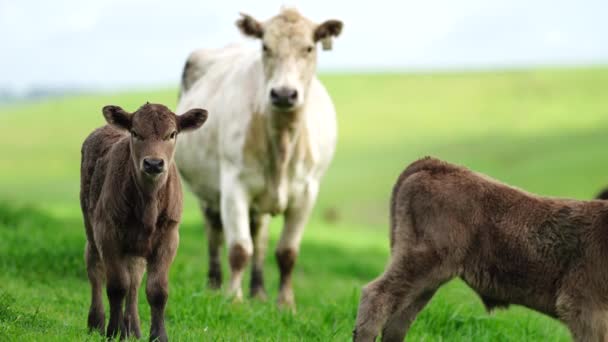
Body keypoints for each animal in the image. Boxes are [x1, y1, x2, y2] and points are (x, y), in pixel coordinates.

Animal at [79, 103, 208, 340]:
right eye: (135, 133)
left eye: (172, 134)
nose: (154, 163)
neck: (148, 205)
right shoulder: (107, 232)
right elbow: (116, 285)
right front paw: (114, 331)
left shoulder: (169, 237)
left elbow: (157, 290)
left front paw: (158, 335)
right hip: (90, 226)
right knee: (95, 268)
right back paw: (96, 322)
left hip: (135, 247)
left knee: (135, 279)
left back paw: (134, 328)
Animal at [176, 8, 344, 308]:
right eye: (266, 46)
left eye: (309, 48)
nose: (284, 93)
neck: (282, 141)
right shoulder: (233, 187)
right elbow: (239, 249)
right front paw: (233, 299)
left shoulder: (306, 194)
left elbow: (287, 252)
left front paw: (285, 304)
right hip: (207, 193)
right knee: (214, 233)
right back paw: (214, 285)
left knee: (260, 237)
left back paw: (259, 291)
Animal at [354, 158, 608, 342]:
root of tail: (437, 164)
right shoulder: (585, 308)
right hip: (421, 263)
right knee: (377, 296)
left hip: (427, 279)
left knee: (399, 320)